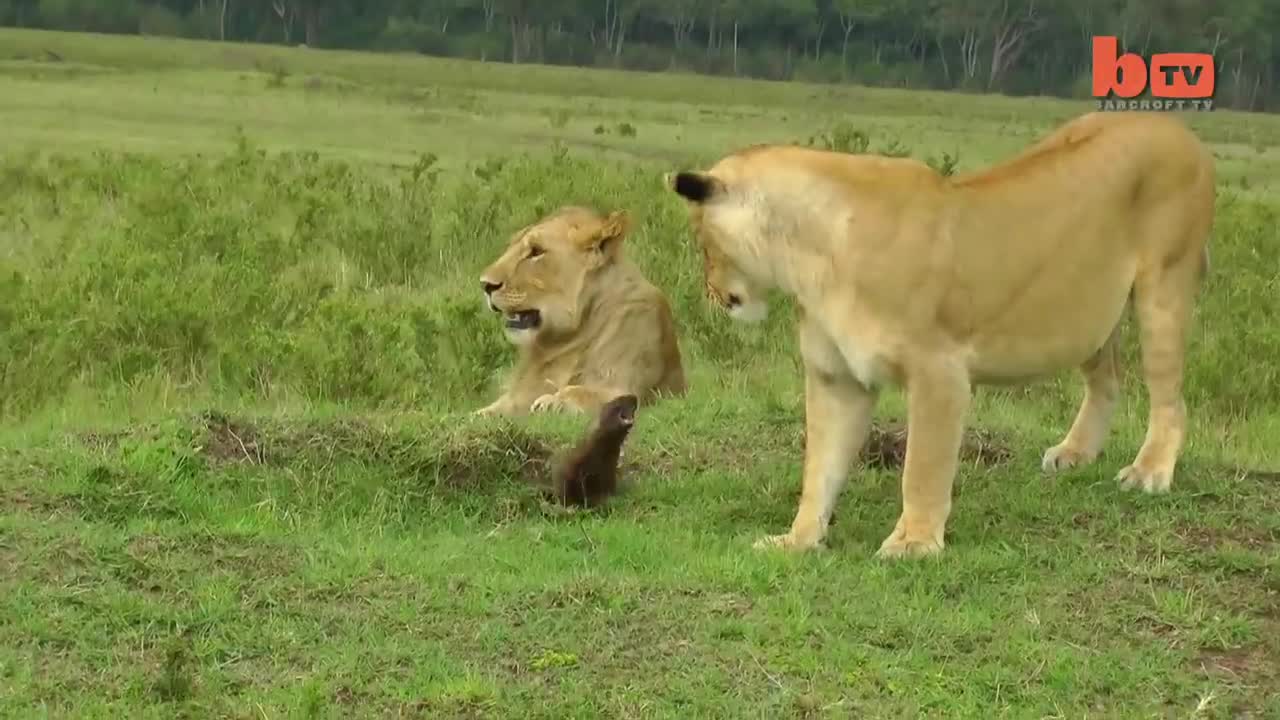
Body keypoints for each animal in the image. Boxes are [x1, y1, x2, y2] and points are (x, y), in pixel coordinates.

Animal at [665, 112, 1213, 558]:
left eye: (702, 241)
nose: (711, 292)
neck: (806, 258)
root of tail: (1178, 129)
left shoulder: (939, 370)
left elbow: (922, 466)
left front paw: (914, 543)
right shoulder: (837, 379)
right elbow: (819, 468)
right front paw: (797, 540)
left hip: (1163, 288)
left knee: (1171, 398)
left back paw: (1149, 472)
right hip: (1086, 313)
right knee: (1108, 380)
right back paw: (1075, 454)